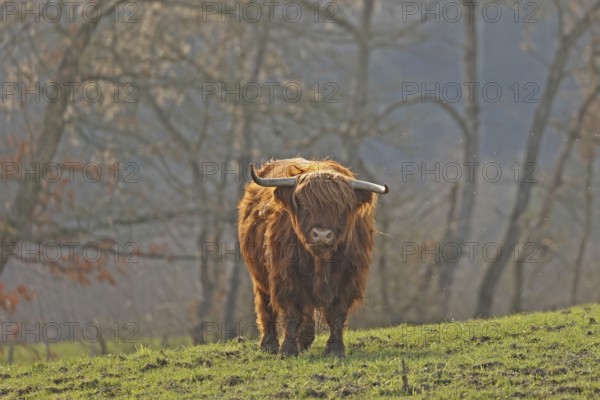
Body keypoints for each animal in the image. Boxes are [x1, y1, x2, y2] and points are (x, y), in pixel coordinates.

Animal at [237, 158, 386, 358]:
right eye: (302, 203)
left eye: (343, 206)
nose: (322, 235)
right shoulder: (286, 278)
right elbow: (291, 314)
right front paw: (287, 350)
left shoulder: (348, 280)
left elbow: (337, 315)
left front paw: (335, 350)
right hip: (260, 277)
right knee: (266, 305)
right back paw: (269, 345)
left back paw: (305, 339)